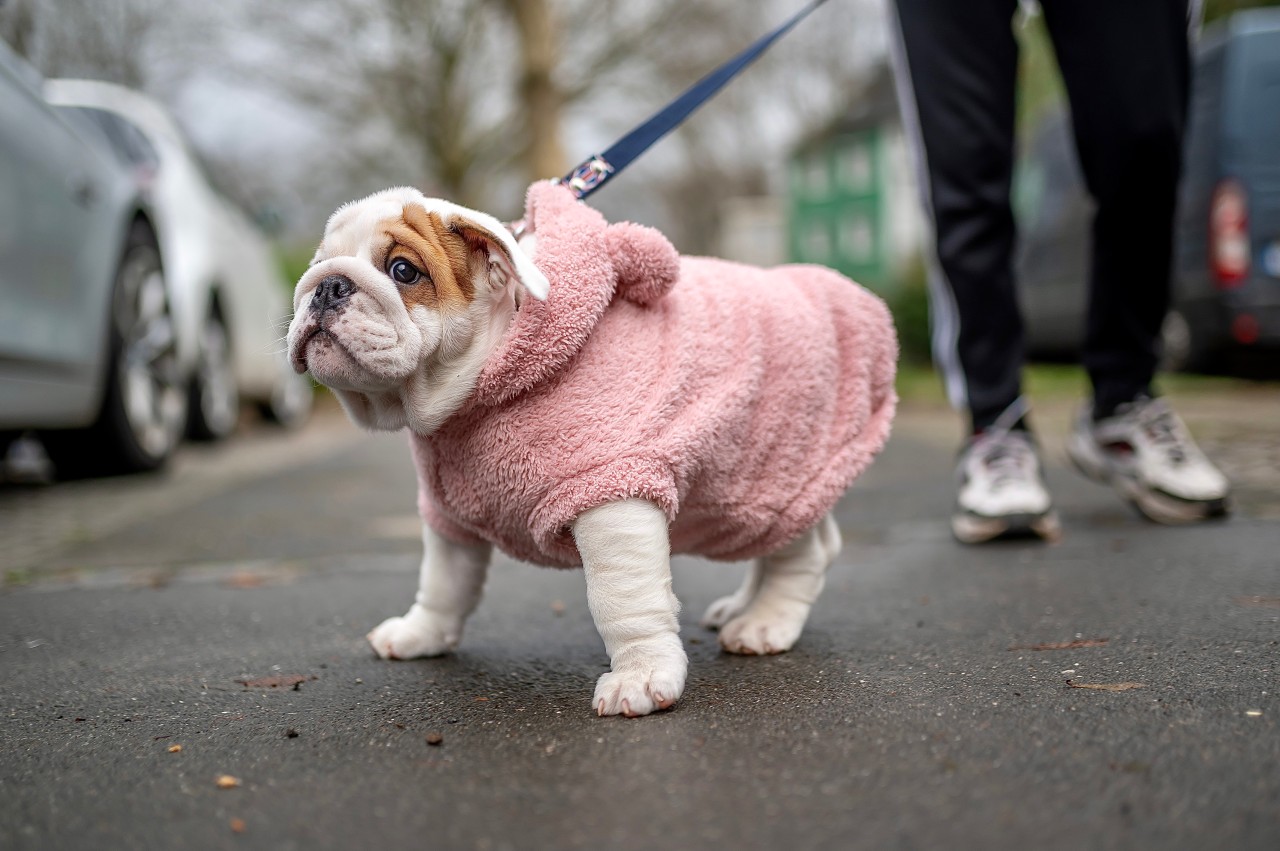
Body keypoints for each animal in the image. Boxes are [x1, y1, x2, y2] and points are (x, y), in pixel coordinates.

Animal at [286, 182, 896, 711]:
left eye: (403, 271)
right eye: (319, 262)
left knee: (802, 552)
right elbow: (442, 581)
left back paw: (765, 622)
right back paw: (742, 607)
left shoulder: (611, 496)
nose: (327, 285)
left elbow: (623, 599)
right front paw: (421, 633)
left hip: (771, 475)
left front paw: (641, 677)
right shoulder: (449, 513)